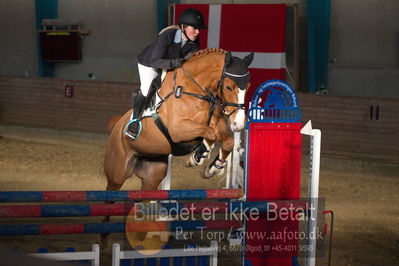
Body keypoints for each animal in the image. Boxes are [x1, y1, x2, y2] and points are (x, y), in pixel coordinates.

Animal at [102, 48, 253, 247]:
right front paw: (198, 157)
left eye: (248, 86)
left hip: (152, 175)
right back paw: (104, 237)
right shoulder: (178, 130)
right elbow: (210, 134)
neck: (195, 90)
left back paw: (140, 234)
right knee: (109, 197)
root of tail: (117, 125)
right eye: (229, 87)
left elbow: (225, 140)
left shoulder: (217, 124)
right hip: (118, 173)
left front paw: (211, 168)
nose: (239, 124)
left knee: (142, 199)